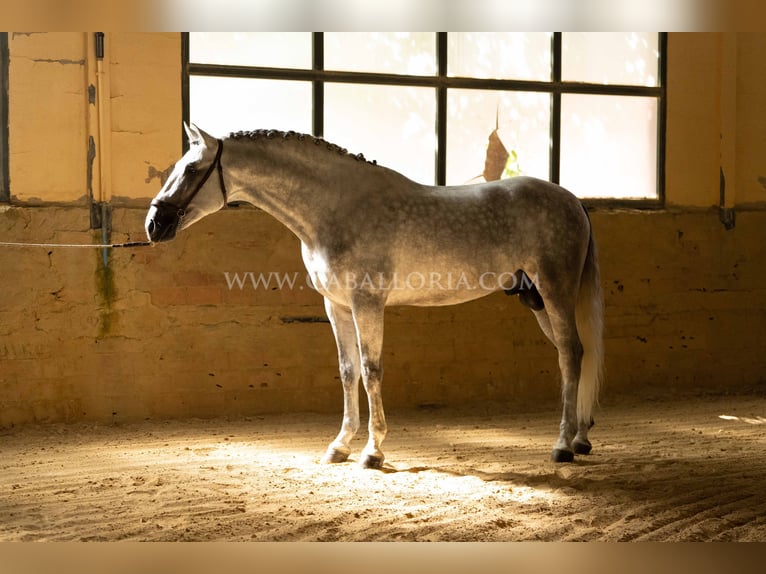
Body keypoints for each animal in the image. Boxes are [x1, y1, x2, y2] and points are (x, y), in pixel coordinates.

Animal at [147, 125, 608, 468]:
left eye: (191, 169)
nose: (154, 224)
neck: (335, 209)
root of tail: (572, 201)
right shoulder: (335, 305)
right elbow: (348, 371)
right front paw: (339, 446)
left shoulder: (366, 302)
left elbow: (371, 371)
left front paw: (373, 451)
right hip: (537, 300)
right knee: (574, 354)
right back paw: (581, 438)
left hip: (555, 291)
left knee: (571, 354)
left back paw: (562, 446)